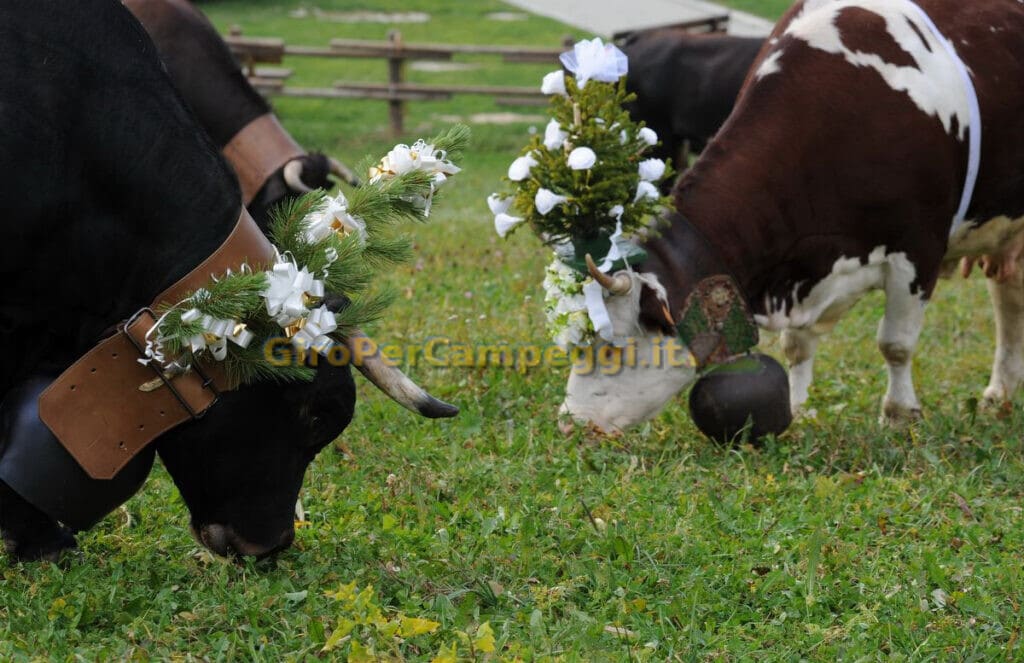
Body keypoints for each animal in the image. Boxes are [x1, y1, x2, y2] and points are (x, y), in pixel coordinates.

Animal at [565, 0, 1024, 432]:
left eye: (612, 347)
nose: (570, 422)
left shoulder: (918, 248)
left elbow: (895, 343)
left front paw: (898, 414)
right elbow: (796, 346)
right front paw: (798, 409)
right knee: (1010, 303)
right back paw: (998, 396)